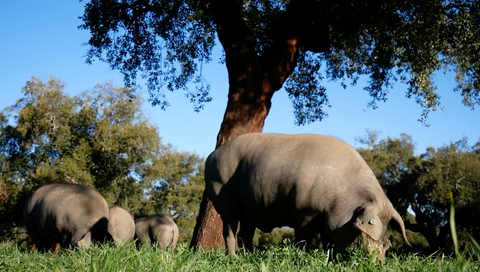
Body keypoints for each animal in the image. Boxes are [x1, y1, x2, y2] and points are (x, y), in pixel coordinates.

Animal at [204, 133, 410, 262]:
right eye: (365, 232)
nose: (380, 263)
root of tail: (211, 156)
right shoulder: (304, 211)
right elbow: (304, 239)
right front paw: (302, 258)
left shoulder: (327, 219)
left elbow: (329, 243)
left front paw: (332, 262)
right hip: (223, 196)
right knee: (229, 230)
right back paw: (233, 257)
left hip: (250, 210)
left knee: (245, 233)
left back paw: (248, 257)